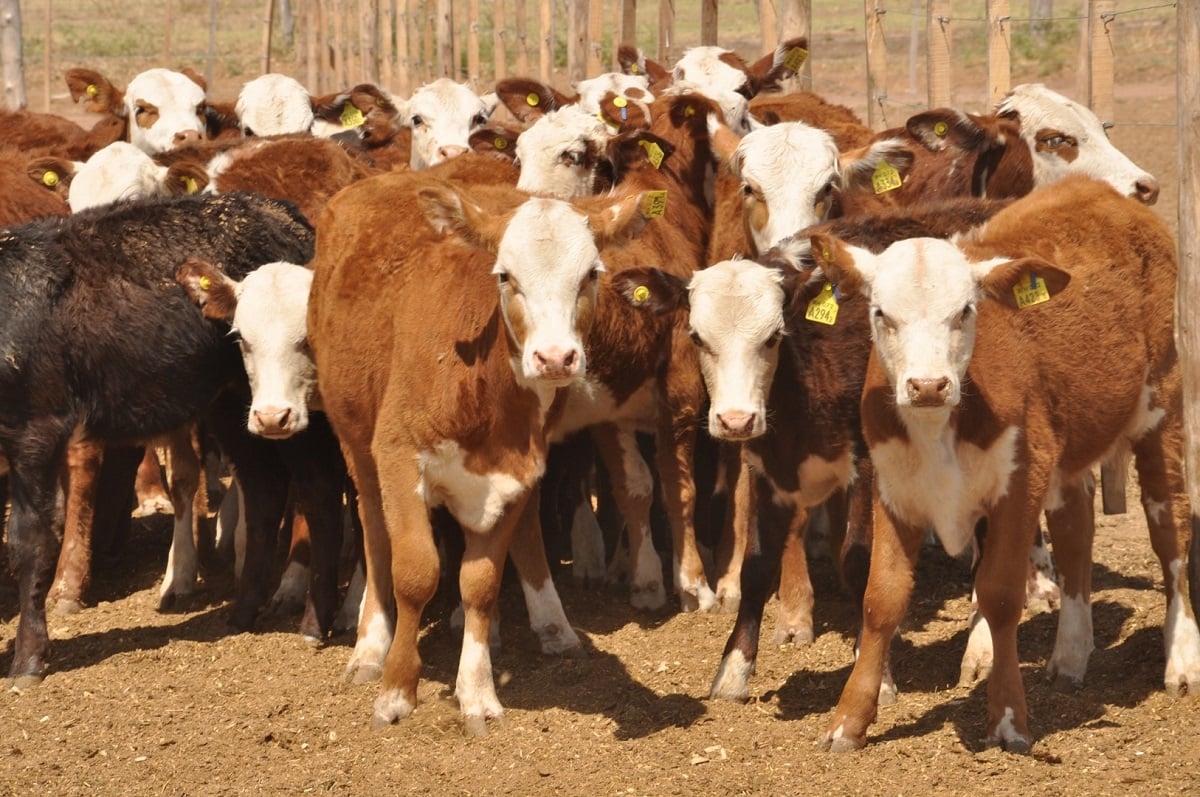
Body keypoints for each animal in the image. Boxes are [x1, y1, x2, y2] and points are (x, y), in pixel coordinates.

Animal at [0, 191, 315, 688]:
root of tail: (283, 212)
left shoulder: (35, 429)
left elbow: (29, 542)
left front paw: (28, 659)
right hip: (232, 403)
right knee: (263, 487)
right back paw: (245, 608)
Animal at [307, 162, 652, 733]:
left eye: (591, 274)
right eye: (505, 275)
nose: (554, 358)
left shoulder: (517, 470)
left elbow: (481, 583)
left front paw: (478, 693)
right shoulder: (398, 455)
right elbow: (415, 572)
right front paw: (396, 690)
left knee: (529, 529)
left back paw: (553, 625)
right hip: (355, 439)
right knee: (375, 535)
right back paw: (370, 647)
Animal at [809, 175, 1198, 752]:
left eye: (965, 312)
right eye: (882, 314)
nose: (928, 385)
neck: (940, 425)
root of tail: (1097, 188)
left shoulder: (1020, 483)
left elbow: (1000, 593)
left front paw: (1009, 719)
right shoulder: (893, 489)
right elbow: (882, 598)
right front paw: (848, 721)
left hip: (1161, 403)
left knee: (1169, 528)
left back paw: (1182, 658)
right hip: (1067, 448)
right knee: (1076, 531)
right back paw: (1070, 656)